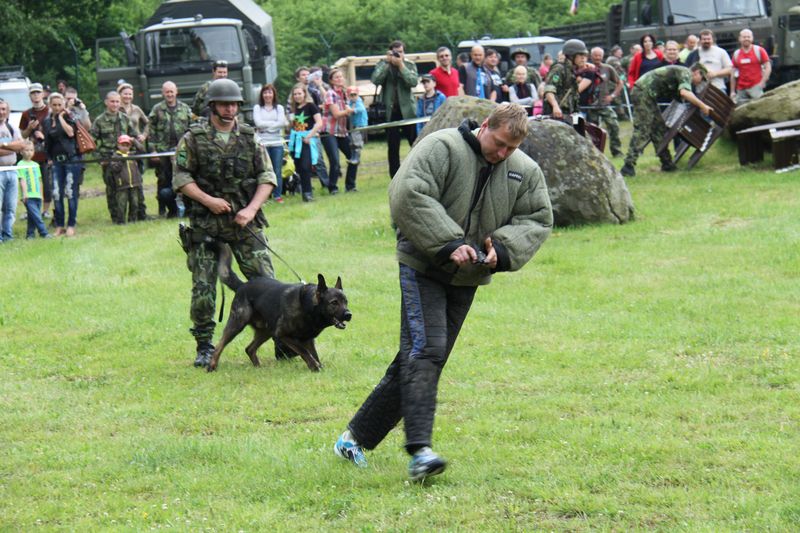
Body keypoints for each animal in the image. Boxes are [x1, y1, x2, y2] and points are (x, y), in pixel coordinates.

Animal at [208, 244, 352, 372]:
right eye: (334, 303)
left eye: (346, 302)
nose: (349, 315)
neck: (307, 307)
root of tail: (242, 285)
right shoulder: (284, 335)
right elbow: (304, 352)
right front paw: (315, 366)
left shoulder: (308, 339)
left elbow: (313, 353)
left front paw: (317, 367)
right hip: (237, 324)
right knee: (219, 346)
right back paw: (211, 366)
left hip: (266, 331)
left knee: (249, 349)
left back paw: (258, 368)